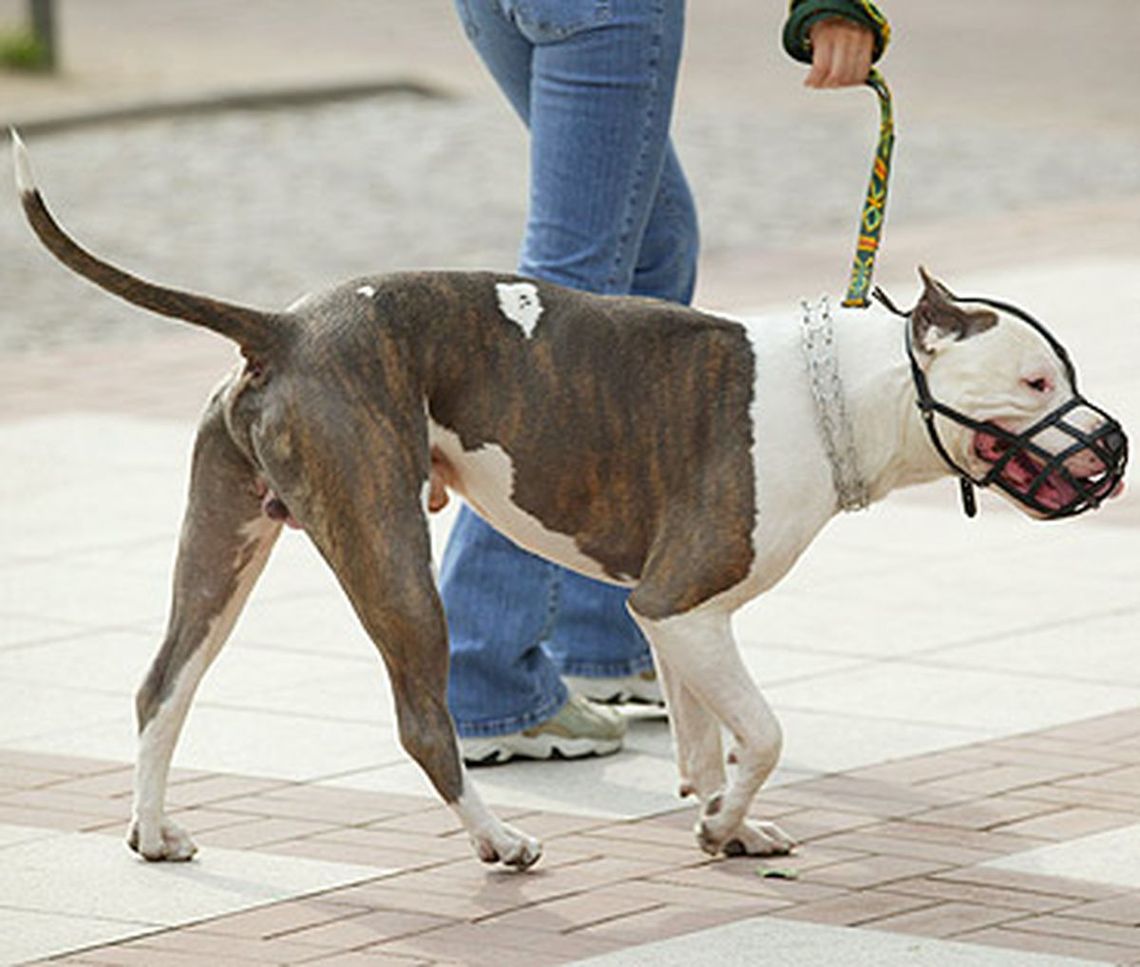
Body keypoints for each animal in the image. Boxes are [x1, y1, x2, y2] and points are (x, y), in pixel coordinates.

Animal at [13, 135, 1126, 866]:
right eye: (1035, 381)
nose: (1114, 453)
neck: (842, 392)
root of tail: (283, 325)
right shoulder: (682, 602)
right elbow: (764, 734)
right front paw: (726, 818)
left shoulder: (680, 620)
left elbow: (702, 737)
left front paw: (721, 823)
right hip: (387, 551)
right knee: (422, 721)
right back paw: (500, 839)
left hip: (226, 542)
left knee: (163, 684)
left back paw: (151, 831)